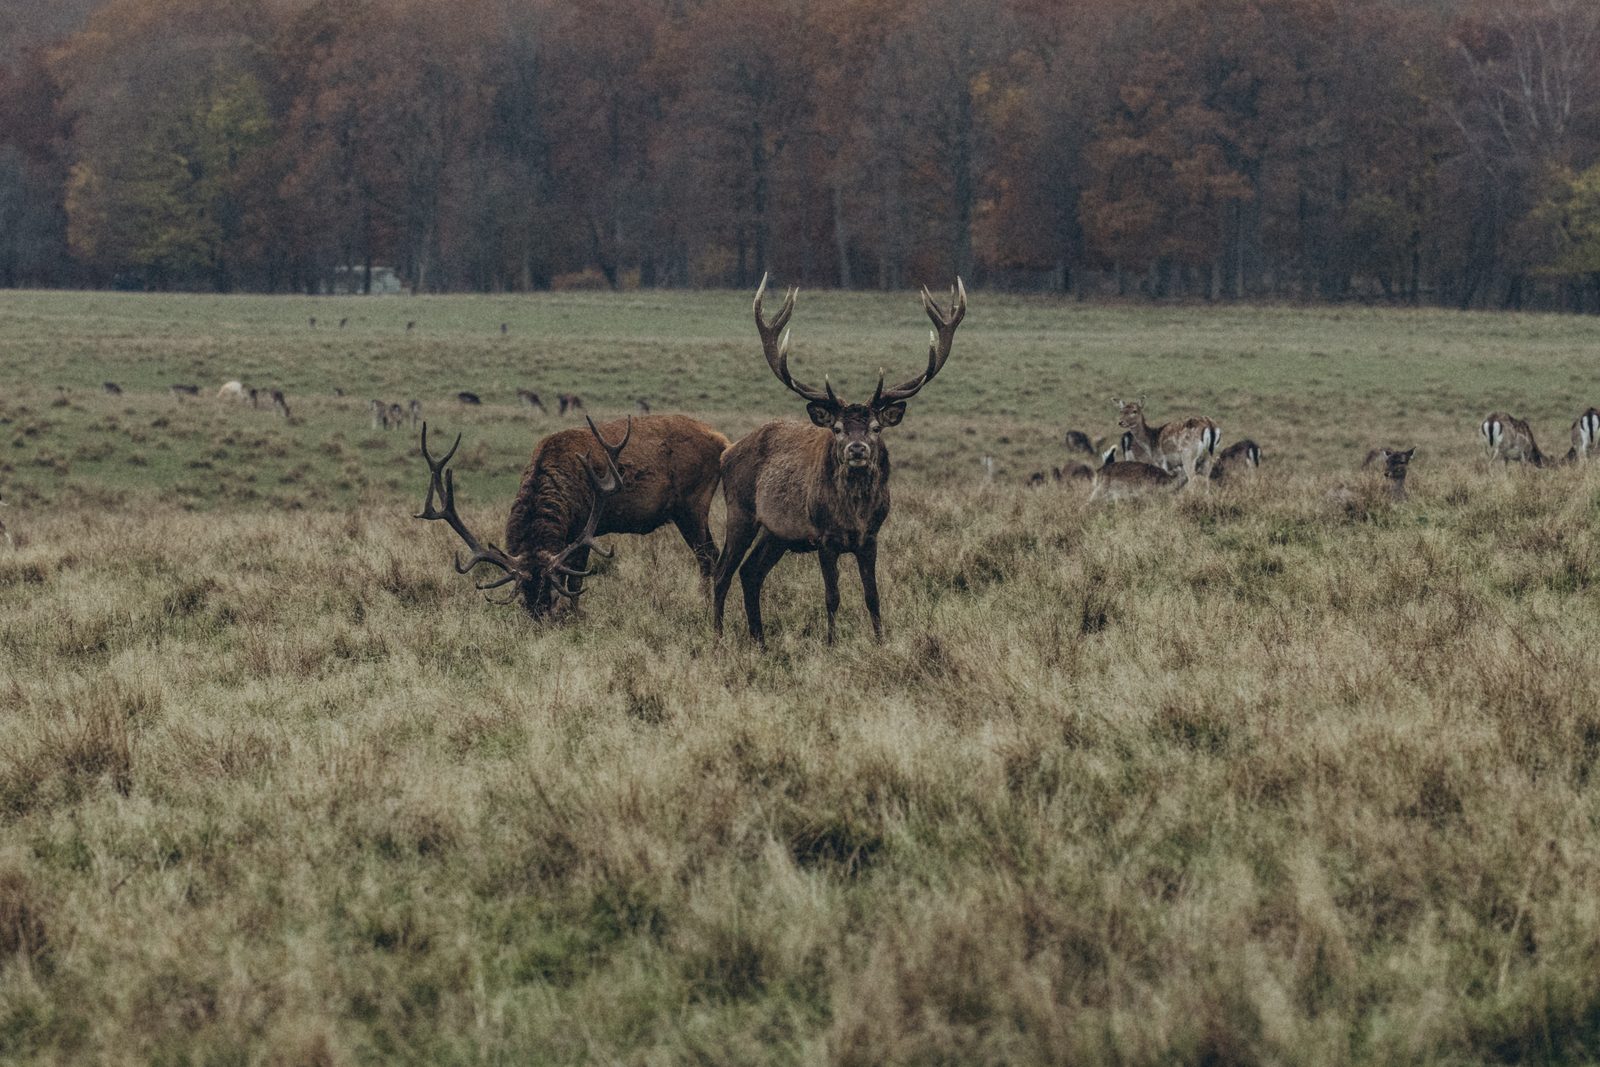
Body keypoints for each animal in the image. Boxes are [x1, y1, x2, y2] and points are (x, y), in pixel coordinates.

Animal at [418, 414, 728, 617]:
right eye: (524, 601)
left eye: (552, 597)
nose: (540, 622)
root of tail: (722, 441)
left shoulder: (584, 527)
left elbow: (575, 580)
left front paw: (575, 614)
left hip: (692, 503)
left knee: (707, 555)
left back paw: (703, 606)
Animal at [713, 273, 965, 646]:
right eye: (837, 428)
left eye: (875, 427)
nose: (857, 449)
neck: (853, 516)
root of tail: (727, 452)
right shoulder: (824, 537)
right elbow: (832, 596)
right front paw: (831, 643)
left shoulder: (871, 537)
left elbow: (872, 596)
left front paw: (880, 641)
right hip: (740, 510)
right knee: (722, 571)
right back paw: (715, 635)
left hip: (777, 532)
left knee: (751, 571)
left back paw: (760, 640)